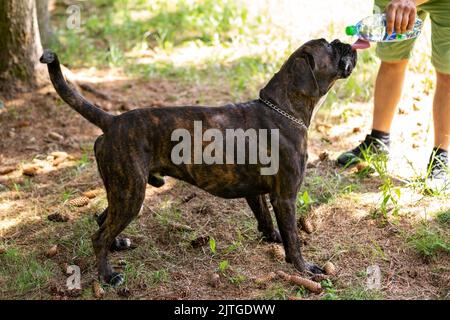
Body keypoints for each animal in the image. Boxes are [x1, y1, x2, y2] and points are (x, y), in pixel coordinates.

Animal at [40, 38, 356, 286]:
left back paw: (117, 243)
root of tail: (112, 121)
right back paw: (108, 275)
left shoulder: (258, 192)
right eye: (329, 46)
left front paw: (272, 238)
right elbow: (294, 238)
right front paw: (304, 268)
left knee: (102, 219)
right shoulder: (286, 197)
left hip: (123, 191)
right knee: (98, 236)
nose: (346, 43)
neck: (283, 108)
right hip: (131, 193)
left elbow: (265, 218)